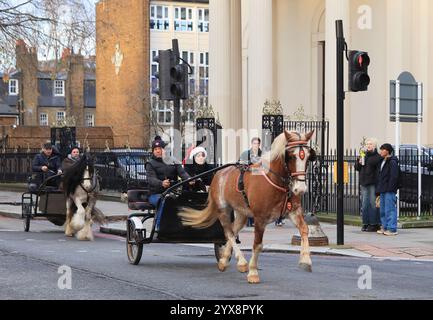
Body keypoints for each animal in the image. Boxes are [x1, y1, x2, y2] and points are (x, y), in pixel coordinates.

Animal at [177, 129, 316, 282]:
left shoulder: (293, 212)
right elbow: (257, 244)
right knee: (229, 232)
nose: (300, 189)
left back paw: (224, 259)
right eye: (290, 156)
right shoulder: (260, 218)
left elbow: (304, 229)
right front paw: (253, 272)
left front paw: (306, 260)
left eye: (308, 157)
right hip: (223, 210)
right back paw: (241, 262)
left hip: (242, 212)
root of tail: (219, 173)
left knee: (233, 231)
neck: (276, 181)